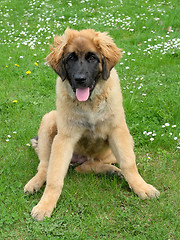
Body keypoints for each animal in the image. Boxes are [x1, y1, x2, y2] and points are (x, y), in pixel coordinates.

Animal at [23, 28, 159, 221]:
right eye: (70, 58)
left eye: (92, 58)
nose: (80, 79)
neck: (90, 103)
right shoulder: (64, 138)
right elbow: (54, 176)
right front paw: (45, 205)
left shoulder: (118, 130)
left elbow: (128, 163)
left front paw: (142, 187)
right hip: (49, 120)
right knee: (45, 165)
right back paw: (35, 183)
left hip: (120, 144)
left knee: (87, 166)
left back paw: (112, 171)